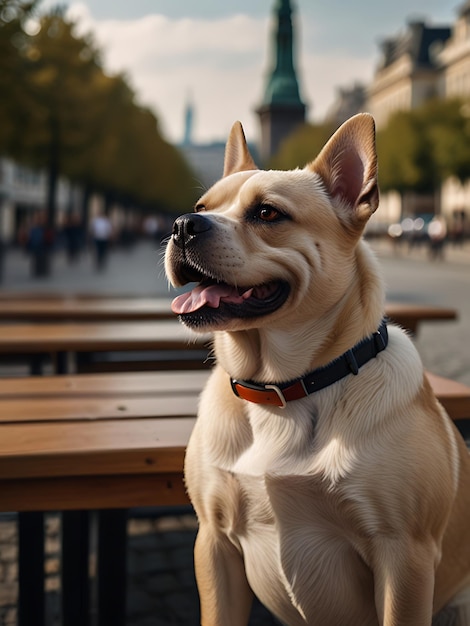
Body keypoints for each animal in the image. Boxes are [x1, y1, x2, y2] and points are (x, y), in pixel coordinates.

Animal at [164, 113, 470, 624]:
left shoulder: (404, 558)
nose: (184, 225)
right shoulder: (214, 542)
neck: (282, 387)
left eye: (268, 213)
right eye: (201, 206)